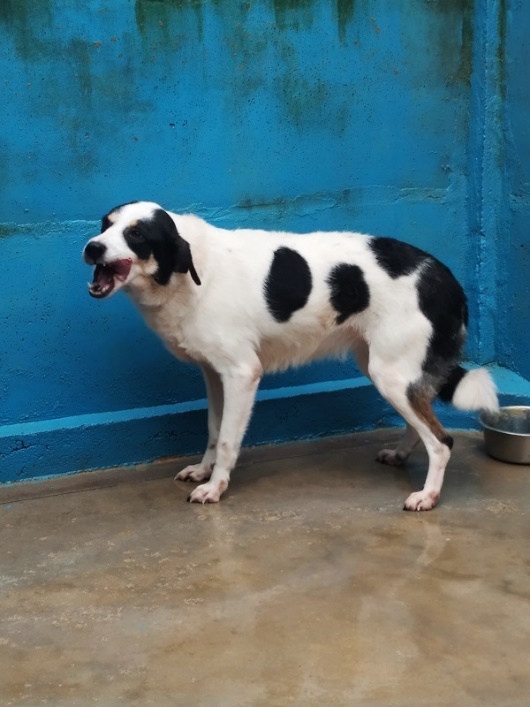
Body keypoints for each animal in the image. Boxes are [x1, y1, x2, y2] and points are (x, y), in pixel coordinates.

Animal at [83, 201, 498, 510]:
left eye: (136, 234)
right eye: (105, 225)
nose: (91, 247)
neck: (189, 271)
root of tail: (445, 277)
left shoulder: (242, 373)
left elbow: (229, 439)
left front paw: (215, 487)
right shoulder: (214, 374)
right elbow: (214, 431)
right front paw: (204, 471)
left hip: (390, 374)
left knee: (441, 441)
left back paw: (428, 495)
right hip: (384, 368)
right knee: (421, 420)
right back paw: (401, 455)